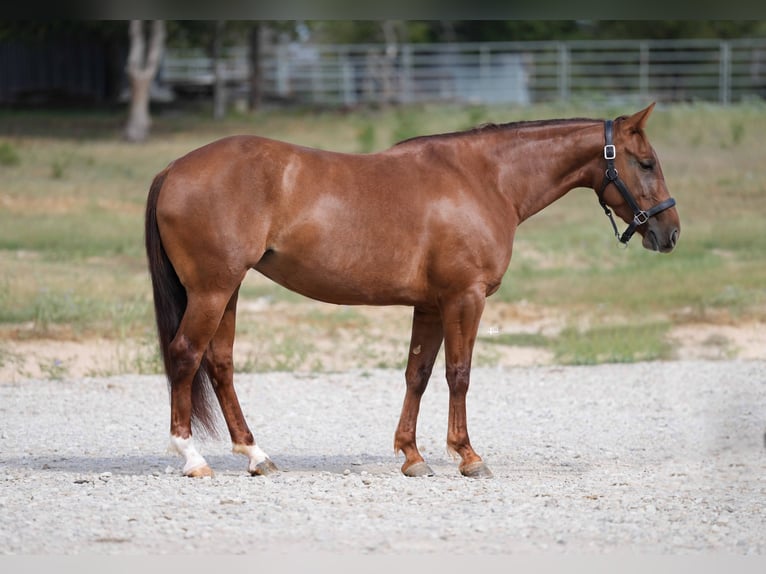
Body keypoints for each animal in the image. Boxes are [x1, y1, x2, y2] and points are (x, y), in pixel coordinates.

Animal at [145, 103, 679, 479]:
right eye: (645, 163)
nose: (669, 232)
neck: (484, 180)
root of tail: (173, 168)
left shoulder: (430, 305)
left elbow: (417, 375)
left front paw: (412, 456)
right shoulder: (465, 298)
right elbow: (459, 374)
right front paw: (467, 456)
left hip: (228, 290)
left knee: (220, 363)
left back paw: (257, 455)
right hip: (213, 291)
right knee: (186, 354)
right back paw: (193, 458)